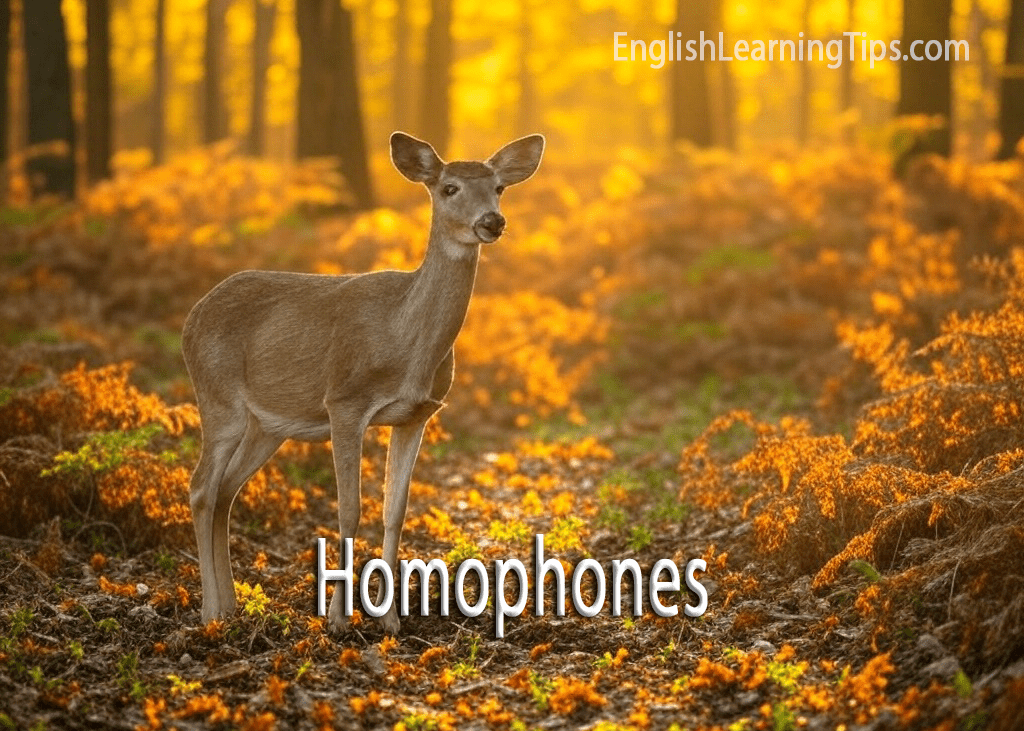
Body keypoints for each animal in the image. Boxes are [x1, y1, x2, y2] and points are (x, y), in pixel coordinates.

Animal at [182, 131, 545, 635]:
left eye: (499, 188)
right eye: (449, 187)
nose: (492, 221)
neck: (404, 342)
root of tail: (190, 319)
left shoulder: (417, 415)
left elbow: (395, 512)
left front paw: (390, 619)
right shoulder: (345, 402)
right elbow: (349, 511)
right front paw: (338, 619)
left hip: (267, 426)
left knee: (225, 491)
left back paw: (233, 606)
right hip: (217, 397)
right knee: (200, 487)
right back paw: (210, 611)